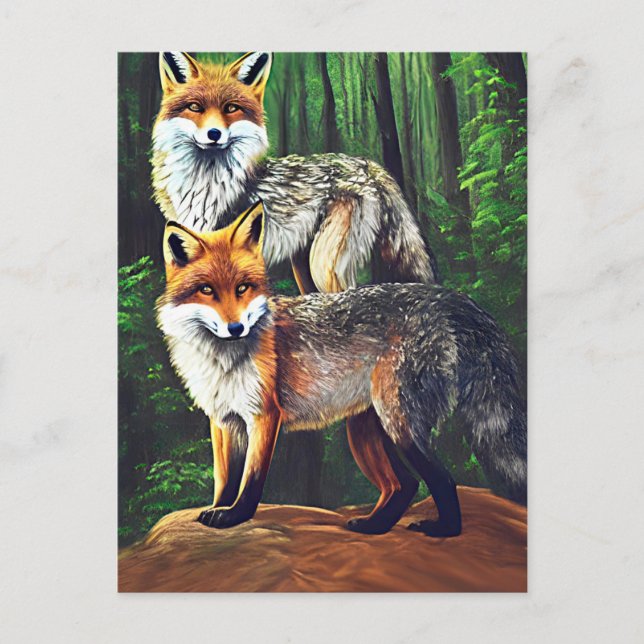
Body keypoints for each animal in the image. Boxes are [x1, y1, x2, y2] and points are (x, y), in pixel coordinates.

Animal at [152, 51, 437, 294]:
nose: (214, 134)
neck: (203, 183)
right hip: (303, 269)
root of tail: (366, 164)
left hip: (323, 265)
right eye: (195, 107)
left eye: (231, 108)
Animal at [156, 201, 527, 536]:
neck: (223, 360)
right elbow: (224, 482)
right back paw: (375, 526)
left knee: (442, 480)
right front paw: (217, 509)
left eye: (242, 288)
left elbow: (250, 482)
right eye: (207, 290)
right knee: (405, 484)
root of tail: (445, 298)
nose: (236, 328)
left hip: (399, 424)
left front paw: (234, 517)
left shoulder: (264, 416)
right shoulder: (223, 421)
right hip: (369, 430)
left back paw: (444, 531)